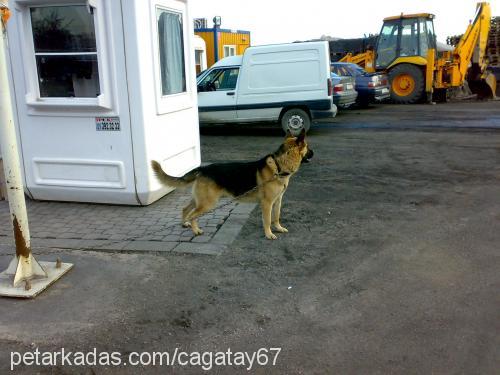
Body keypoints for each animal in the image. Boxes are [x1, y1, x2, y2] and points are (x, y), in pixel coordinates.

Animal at [151, 131, 312, 239]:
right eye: (308, 147)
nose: (314, 153)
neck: (279, 166)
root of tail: (203, 168)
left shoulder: (277, 201)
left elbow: (276, 216)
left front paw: (278, 228)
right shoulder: (266, 204)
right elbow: (267, 220)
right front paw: (269, 234)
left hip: (200, 200)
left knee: (185, 209)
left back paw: (185, 224)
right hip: (208, 203)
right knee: (192, 215)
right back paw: (195, 230)